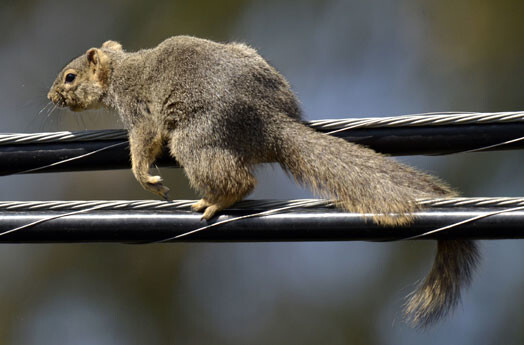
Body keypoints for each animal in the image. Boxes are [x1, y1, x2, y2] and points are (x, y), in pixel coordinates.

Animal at [48, 35, 478, 326]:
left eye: (69, 77)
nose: (51, 97)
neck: (120, 70)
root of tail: (270, 122)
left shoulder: (138, 109)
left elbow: (144, 141)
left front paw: (145, 176)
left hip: (196, 137)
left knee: (240, 181)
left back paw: (216, 200)